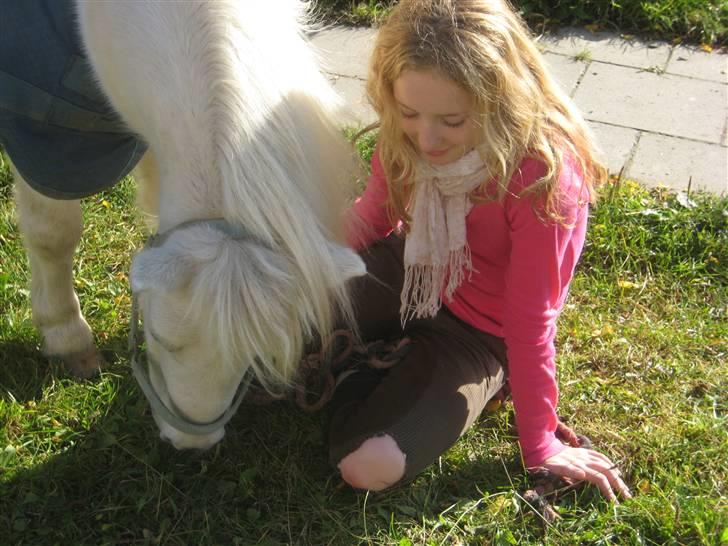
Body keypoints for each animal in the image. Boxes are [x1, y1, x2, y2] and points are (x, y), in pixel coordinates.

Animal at [1, 1, 365, 450]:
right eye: (159, 338)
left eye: (251, 357)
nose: (191, 445)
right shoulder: (48, 127)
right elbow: (52, 232)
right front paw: (66, 336)